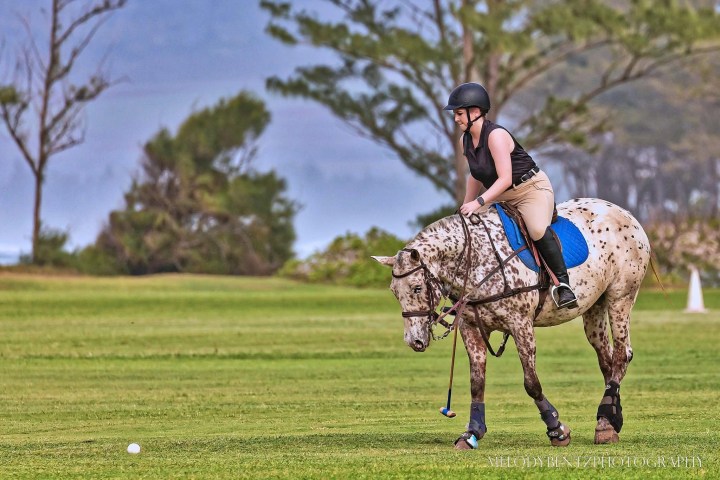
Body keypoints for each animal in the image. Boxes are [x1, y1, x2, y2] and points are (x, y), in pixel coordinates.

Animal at [372, 198, 651, 449]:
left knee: (621, 354)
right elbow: (477, 383)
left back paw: (605, 424)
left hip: (620, 297)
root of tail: (625, 213)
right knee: (607, 360)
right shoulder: (470, 328)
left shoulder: (521, 325)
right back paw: (610, 419)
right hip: (594, 307)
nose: (414, 341)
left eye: (417, 287)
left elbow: (531, 383)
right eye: (394, 292)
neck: (477, 262)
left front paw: (557, 430)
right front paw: (472, 433)